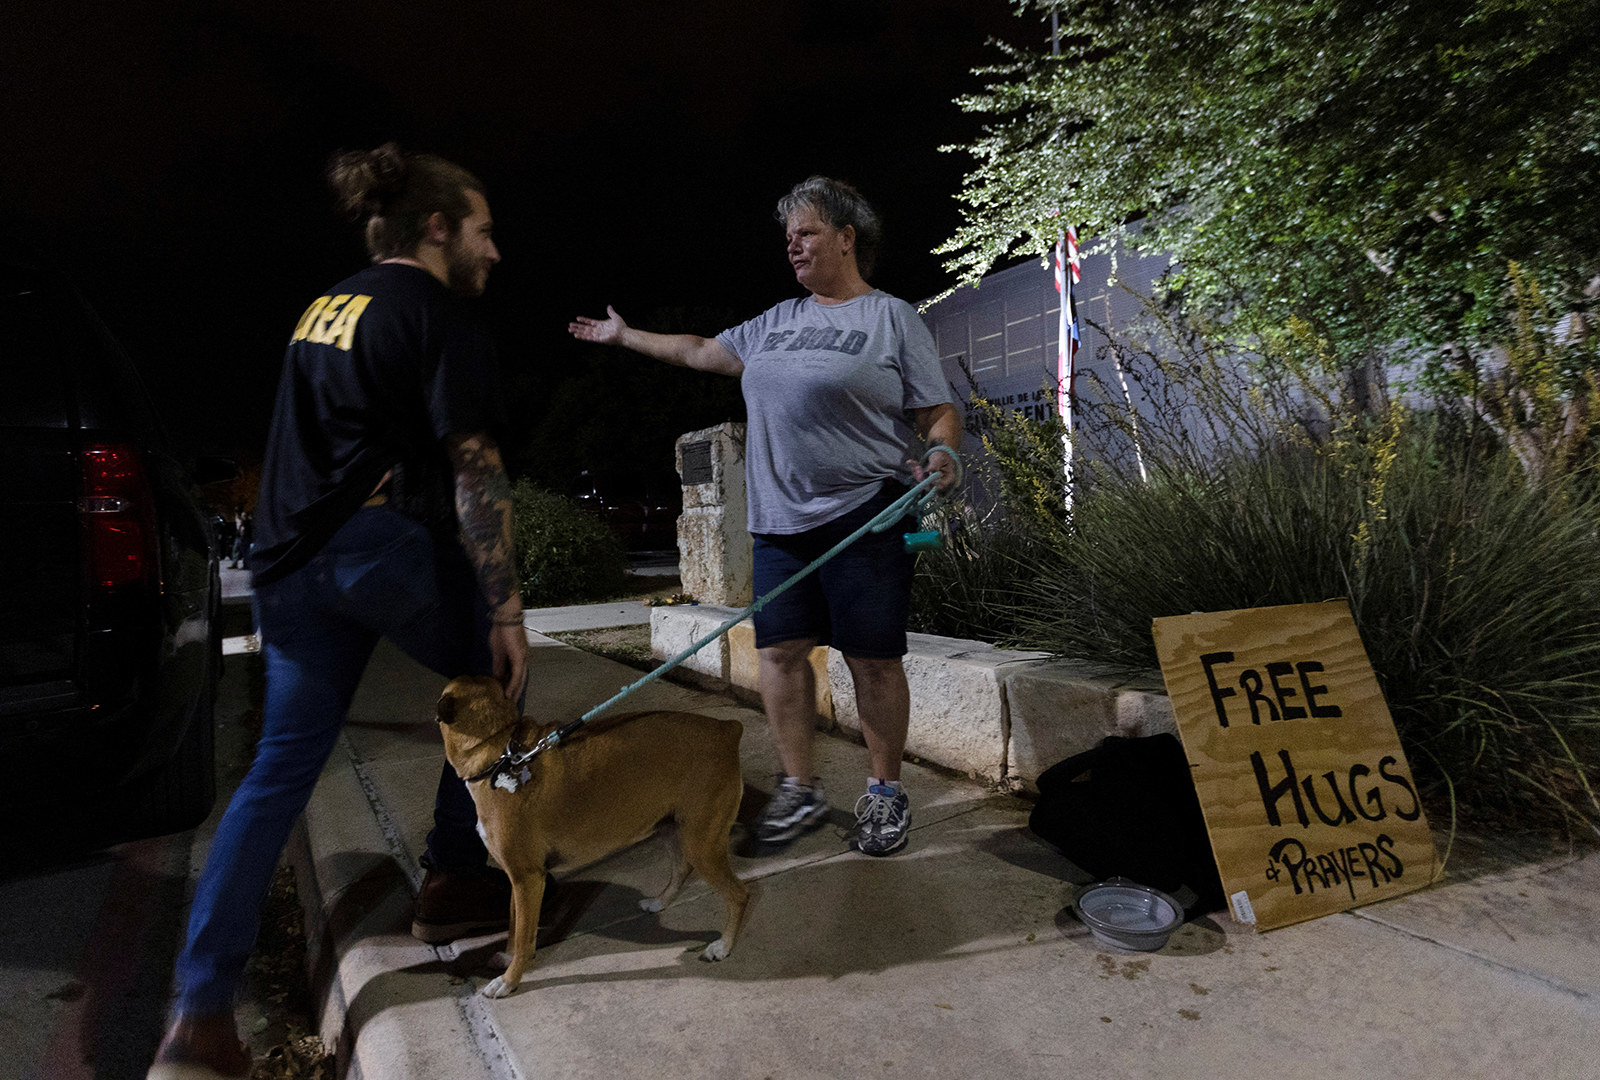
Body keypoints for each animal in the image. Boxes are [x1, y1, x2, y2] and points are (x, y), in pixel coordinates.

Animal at [435, 675, 752, 998]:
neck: (501, 752)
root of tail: (727, 730)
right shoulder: (519, 880)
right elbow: (515, 925)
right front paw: (508, 958)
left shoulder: (528, 879)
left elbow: (525, 938)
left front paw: (509, 980)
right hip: (672, 830)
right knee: (681, 869)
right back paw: (660, 902)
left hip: (701, 844)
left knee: (739, 895)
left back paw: (723, 946)